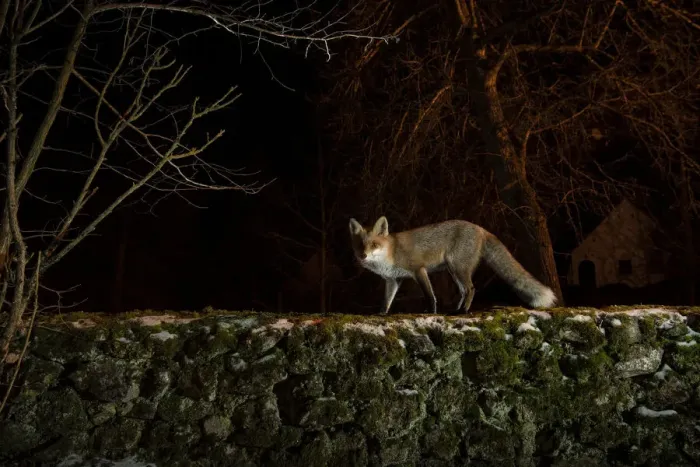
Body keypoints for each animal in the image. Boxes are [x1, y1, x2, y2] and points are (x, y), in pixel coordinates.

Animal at [348, 216, 557, 314]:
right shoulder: (393, 280)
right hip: (453, 271)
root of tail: (480, 228)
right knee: (464, 291)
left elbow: (430, 296)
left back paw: (463, 311)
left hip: (458, 267)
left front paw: (431, 313)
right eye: (359, 245)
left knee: (471, 288)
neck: (390, 254)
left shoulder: (418, 270)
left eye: (374, 245)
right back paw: (456, 310)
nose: (363, 255)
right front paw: (382, 314)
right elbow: (386, 301)